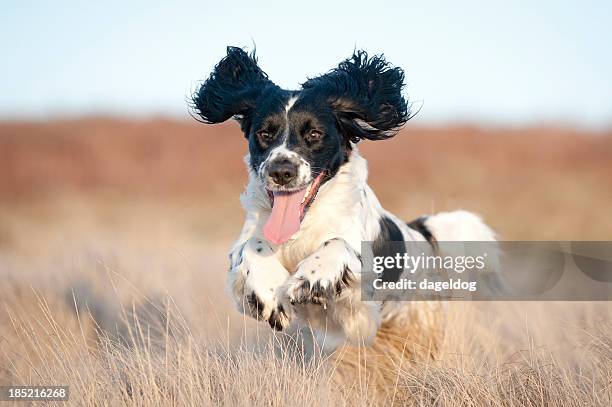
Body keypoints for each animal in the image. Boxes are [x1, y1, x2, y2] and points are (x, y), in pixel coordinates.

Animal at [191, 47, 498, 354]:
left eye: (314, 133)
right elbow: (250, 246)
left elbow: (338, 244)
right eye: (264, 134)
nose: (281, 171)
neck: (303, 224)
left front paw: (307, 279)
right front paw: (270, 295)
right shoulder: (245, 247)